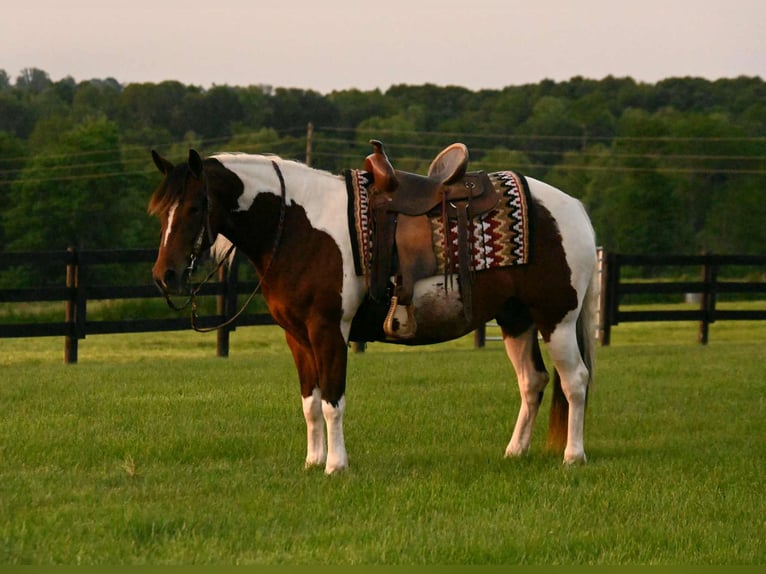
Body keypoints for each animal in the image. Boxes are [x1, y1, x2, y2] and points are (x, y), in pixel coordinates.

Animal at [148, 144, 598, 474]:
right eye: (160, 211)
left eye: (193, 208)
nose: (164, 275)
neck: (298, 226)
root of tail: (574, 208)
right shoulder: (297, 337)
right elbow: (310, 403)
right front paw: (312, 462)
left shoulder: (329, 330)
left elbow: (332, 401)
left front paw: (336, 466)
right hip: (516, 319)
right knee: (533, 381)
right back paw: (515, 452)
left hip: (557, 318)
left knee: (574, 381)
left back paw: (573, 456)